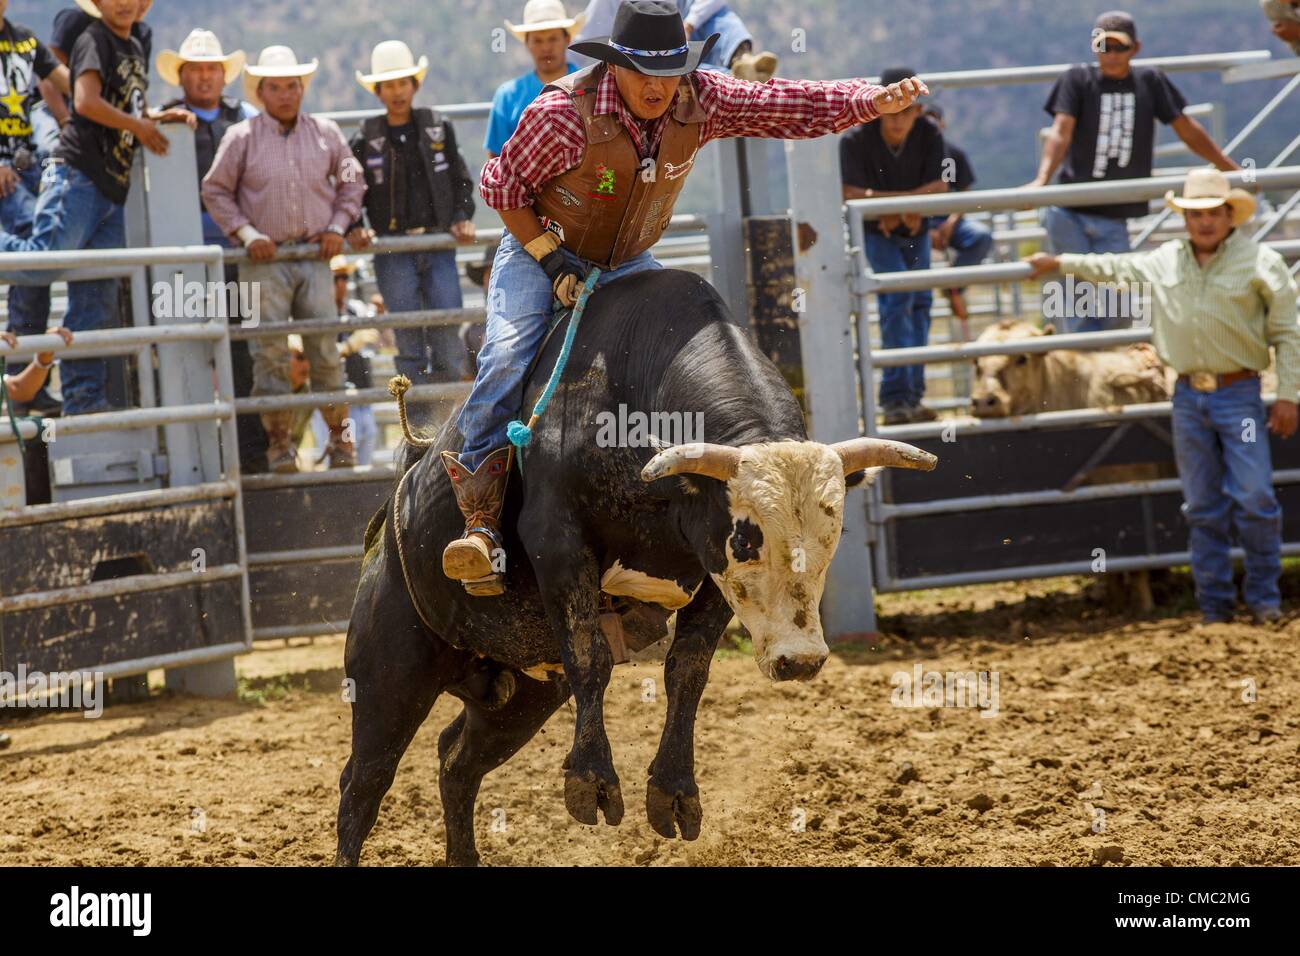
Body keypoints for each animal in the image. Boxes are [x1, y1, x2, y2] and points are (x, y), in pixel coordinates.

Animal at [330, 265, 930, 863]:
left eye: (832, 538)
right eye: (746, 540)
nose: (800, 660)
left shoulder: (708, 573)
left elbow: (687, 670)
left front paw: (674, 793)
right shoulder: (558, 541)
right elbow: (589, 655)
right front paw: (591, 783)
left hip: (521, 696)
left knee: (456, 761)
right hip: (390, 671)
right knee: (363, 782)